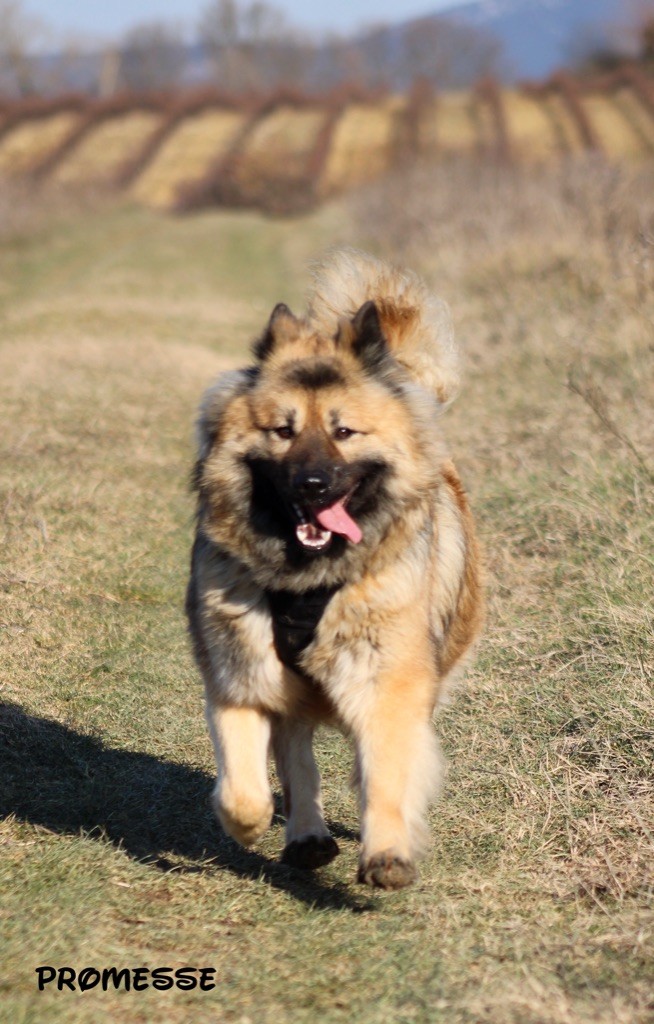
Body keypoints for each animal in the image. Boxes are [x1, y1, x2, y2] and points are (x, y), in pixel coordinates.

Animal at [186, 247, 483, 888]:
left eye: (344, 431)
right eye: (283, 430)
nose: (313, 485)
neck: (308, 580)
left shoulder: (389, 680)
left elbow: (386, 776)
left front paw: (388, 853)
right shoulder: (241, 673)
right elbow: (246, 786)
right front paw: (251, 823)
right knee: (296, 754)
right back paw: (306, 837)